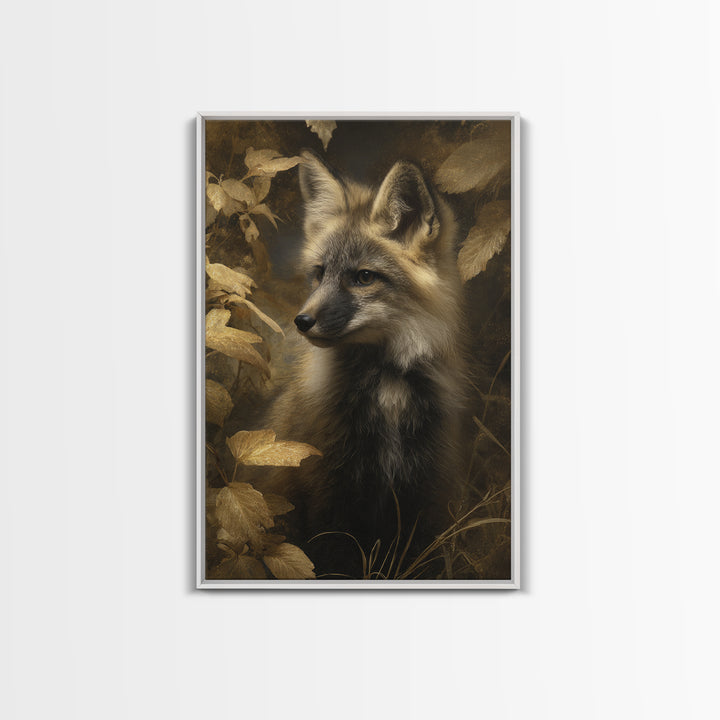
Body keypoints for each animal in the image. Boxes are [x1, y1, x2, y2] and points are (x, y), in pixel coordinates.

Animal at [261, 150, 468, 578]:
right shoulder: (328, 493)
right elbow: (330, 564)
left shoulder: (425, 492)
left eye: (364, 277)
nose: (302, 321)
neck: (388, 390)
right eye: (319, 273)